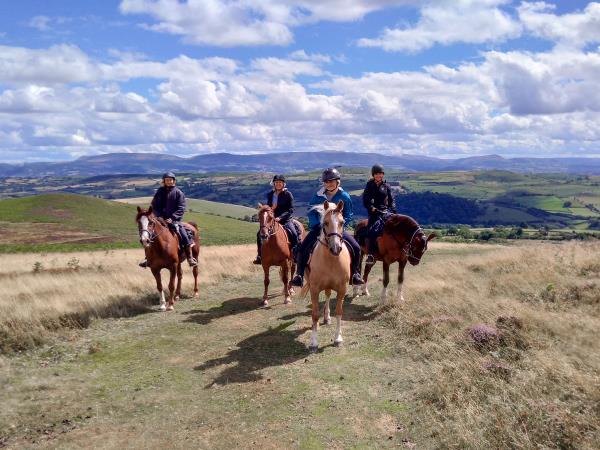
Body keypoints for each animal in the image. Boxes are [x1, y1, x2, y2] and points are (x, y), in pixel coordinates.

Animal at [300, 200, 352, 352]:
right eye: (325, 223)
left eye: (342, 222)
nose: (335, 248)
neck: (331, 260)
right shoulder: (314, 289)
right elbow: (314, 314)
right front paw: (313, 342)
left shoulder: (342, 289)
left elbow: (339, 312)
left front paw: (338, 338)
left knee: (328, 296)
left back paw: (327, 317)